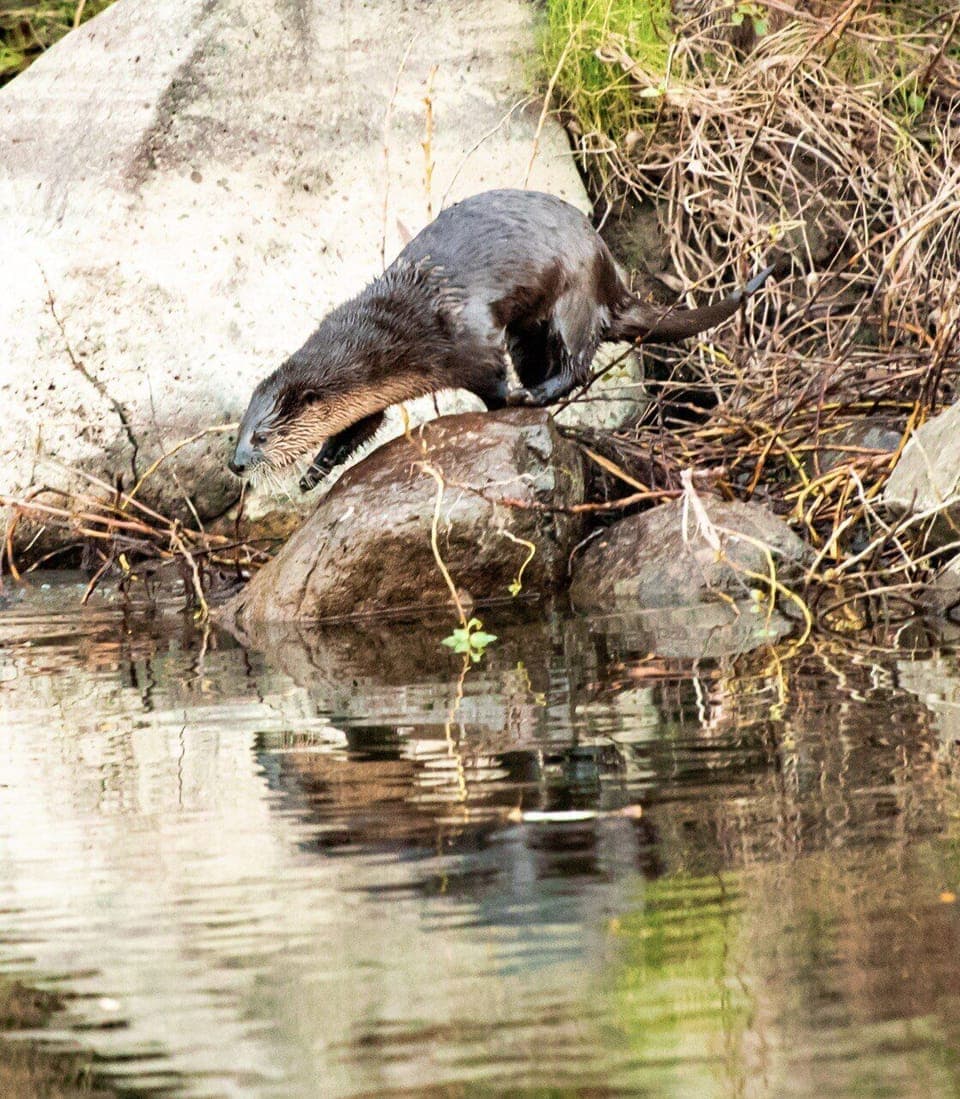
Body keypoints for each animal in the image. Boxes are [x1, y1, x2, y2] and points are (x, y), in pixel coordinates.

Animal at [230, 189, 771, 491]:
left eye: (261, 437)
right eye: (240, 431)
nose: (236, 464)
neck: (396, 337)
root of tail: (610, 272)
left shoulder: (469, 335)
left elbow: (490, 380)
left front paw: (505, 406)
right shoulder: (369, 395)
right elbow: (360, 426)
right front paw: (313, 473)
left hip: (573, 293)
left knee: (579, 361)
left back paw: (535, 394)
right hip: (529, 331)